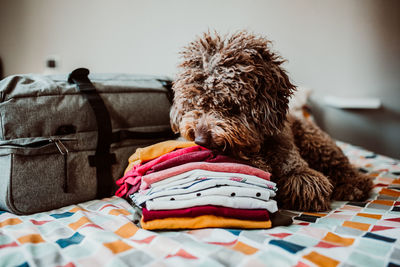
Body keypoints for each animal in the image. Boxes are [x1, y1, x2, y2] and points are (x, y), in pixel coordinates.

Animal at [170, 30, 376, 211]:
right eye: (193, 103)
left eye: (227, 102)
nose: (200, 139)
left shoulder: (297, 170)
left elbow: (303, 181)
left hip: (314, 140)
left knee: (343, 166)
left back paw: (354, 185)